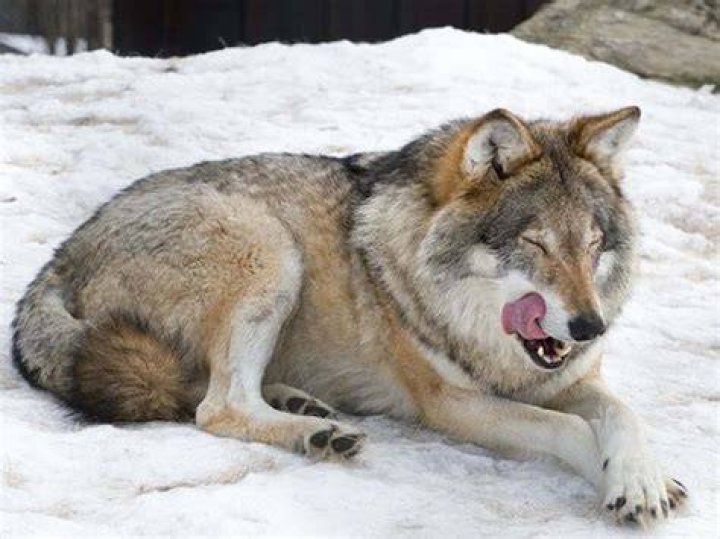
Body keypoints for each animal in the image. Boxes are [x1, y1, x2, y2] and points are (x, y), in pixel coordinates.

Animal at [12, 106, 687, 524]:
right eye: (535, 244)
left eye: (593, 245)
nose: (590, 326)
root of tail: (64, 253)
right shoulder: (453, 405)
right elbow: (570, 428)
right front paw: (615, 478)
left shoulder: (572, 377)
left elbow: (622, 415)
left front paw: (643, 477)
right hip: (269, 248)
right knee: (216, 407)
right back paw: (314, 433)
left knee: (207, 389)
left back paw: (303, 407)